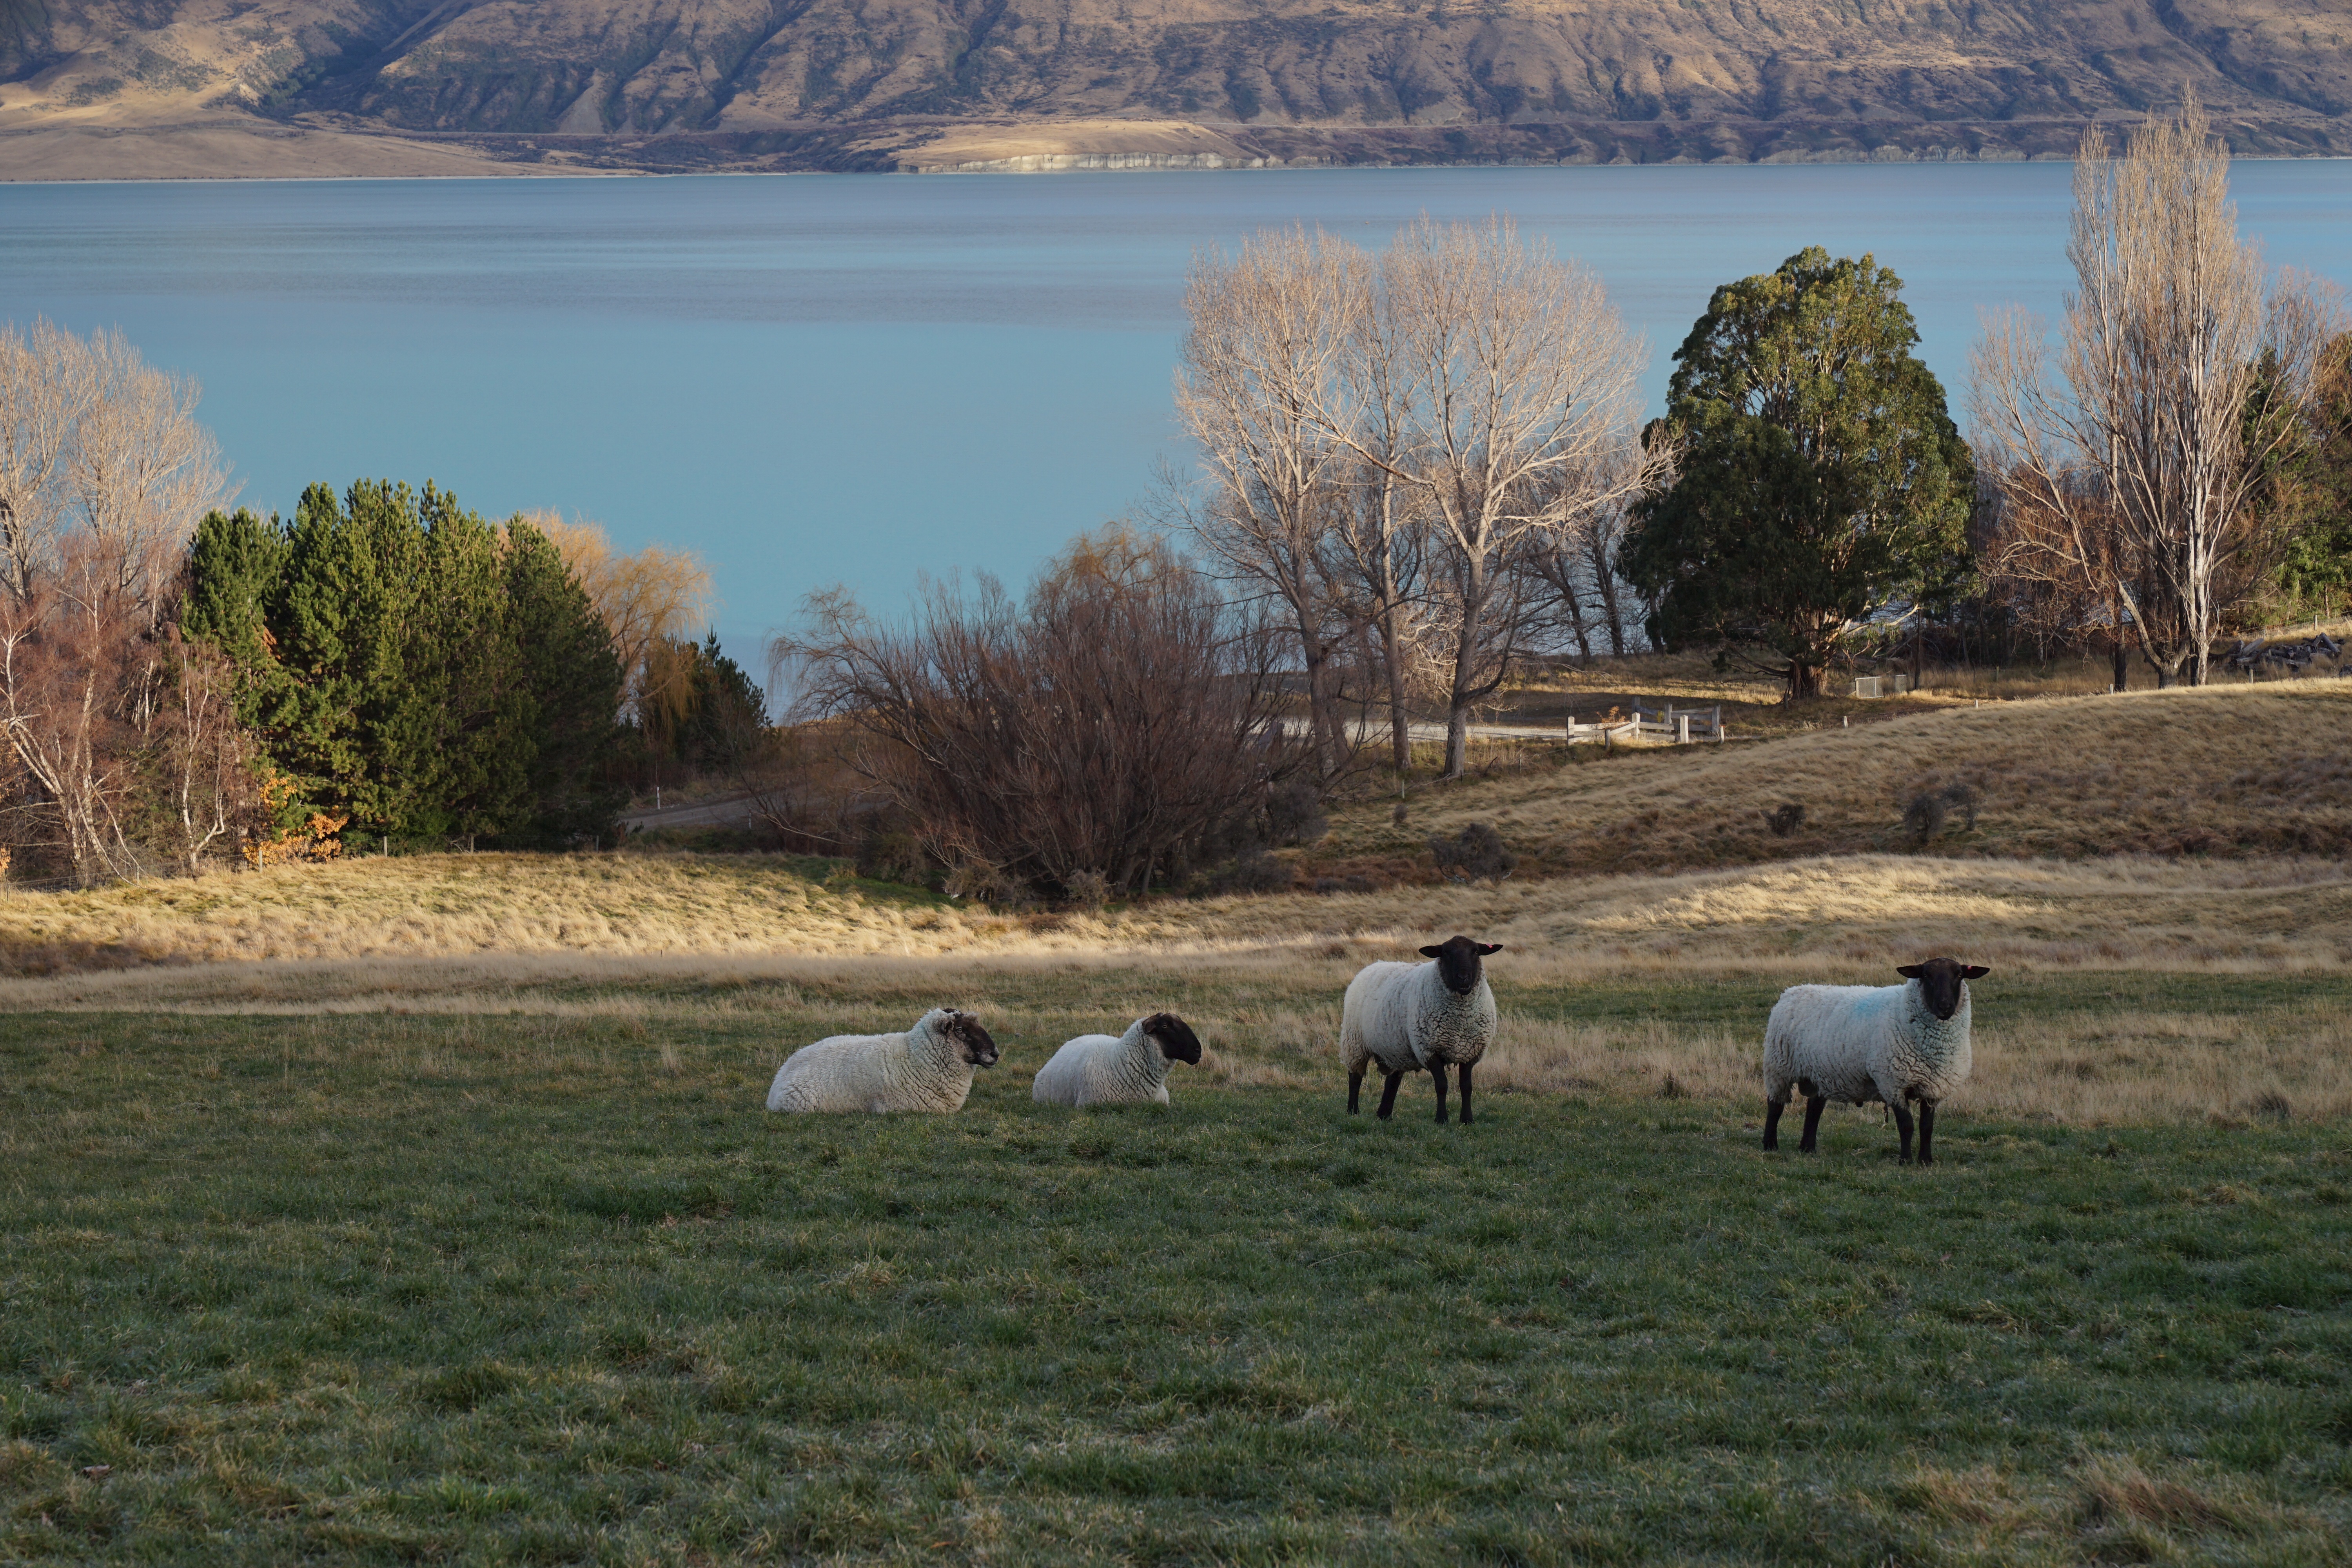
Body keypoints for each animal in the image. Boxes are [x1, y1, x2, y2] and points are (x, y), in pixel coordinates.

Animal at [1345, 940, 1505, 1123]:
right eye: (1445, 953)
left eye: (1476, 952)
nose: (1464, 978)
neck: (1460, 1018)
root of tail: (1374, 965)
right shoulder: (1429, 1050)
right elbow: (1442, 1086)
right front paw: (1441, 1120)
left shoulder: (1469, 1052)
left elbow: (1466, 1087)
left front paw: (1467, 1120)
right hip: (1355, 1043)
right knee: (1355, 1078)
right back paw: (1353, 1111)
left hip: (1396, 1048)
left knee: (1392, 1081)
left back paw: (1384, 1114)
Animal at [1769, 959, 1985, 1166]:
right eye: (1925, 975)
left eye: (1960, 975)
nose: (1945, 1006)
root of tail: (1792, 991)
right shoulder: (1893, 1084)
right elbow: (1906, 1126)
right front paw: (1905, 1161)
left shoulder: (1933, 1089)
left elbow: (1927, 1127)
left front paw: (1926, 1161)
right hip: (1779, 1067)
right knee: (1775, 1106)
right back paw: (1770, 1146)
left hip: (1821, 1074)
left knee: (1814, 1109)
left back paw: (1808, 1148)